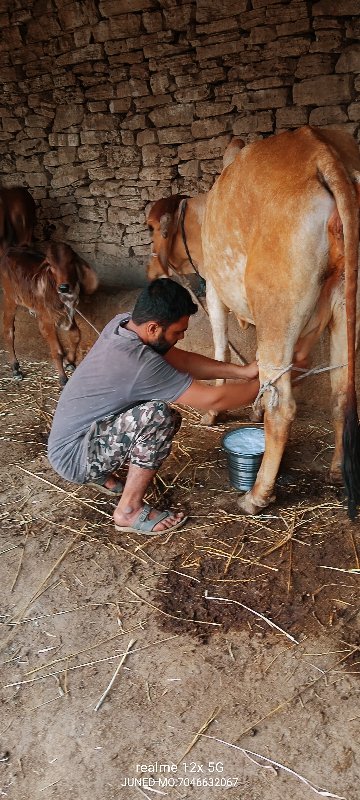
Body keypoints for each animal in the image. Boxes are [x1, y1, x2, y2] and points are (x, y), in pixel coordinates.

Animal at [0, 241, 98, 384]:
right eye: (51, 265)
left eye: (71, 261)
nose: (63, 287)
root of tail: (10, 249)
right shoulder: (47, 319)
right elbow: (57, 350)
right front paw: (63, 378)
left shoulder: (69, 313)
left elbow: (76, 336)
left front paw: (69, 362)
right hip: (10, 299)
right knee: (8, 331)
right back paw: (15, 368)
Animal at [202, 122, 360, 516]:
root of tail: (323, 150)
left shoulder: (212, 284)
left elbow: (220, 347)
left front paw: (213, 414)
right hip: (344, 305)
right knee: (340, 393)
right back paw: (337, 470)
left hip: (276, 305)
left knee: (282, 404)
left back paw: (257, 495)